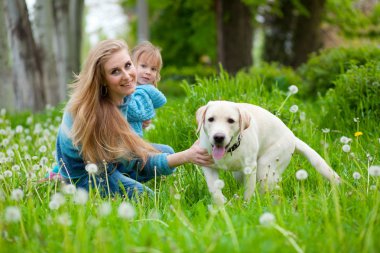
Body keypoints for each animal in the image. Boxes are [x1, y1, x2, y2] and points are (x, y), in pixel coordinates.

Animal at [197, 100, 340, 204]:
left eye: (231, 120)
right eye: (211, 119)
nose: (218, 137)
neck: (230, 150)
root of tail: (292, 137)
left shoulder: (250, 168)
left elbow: (249, 191)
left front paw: (246, 206)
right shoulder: (208, 166)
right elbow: (214, 189)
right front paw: (220, 206)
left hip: (265, 167)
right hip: (241, 173)